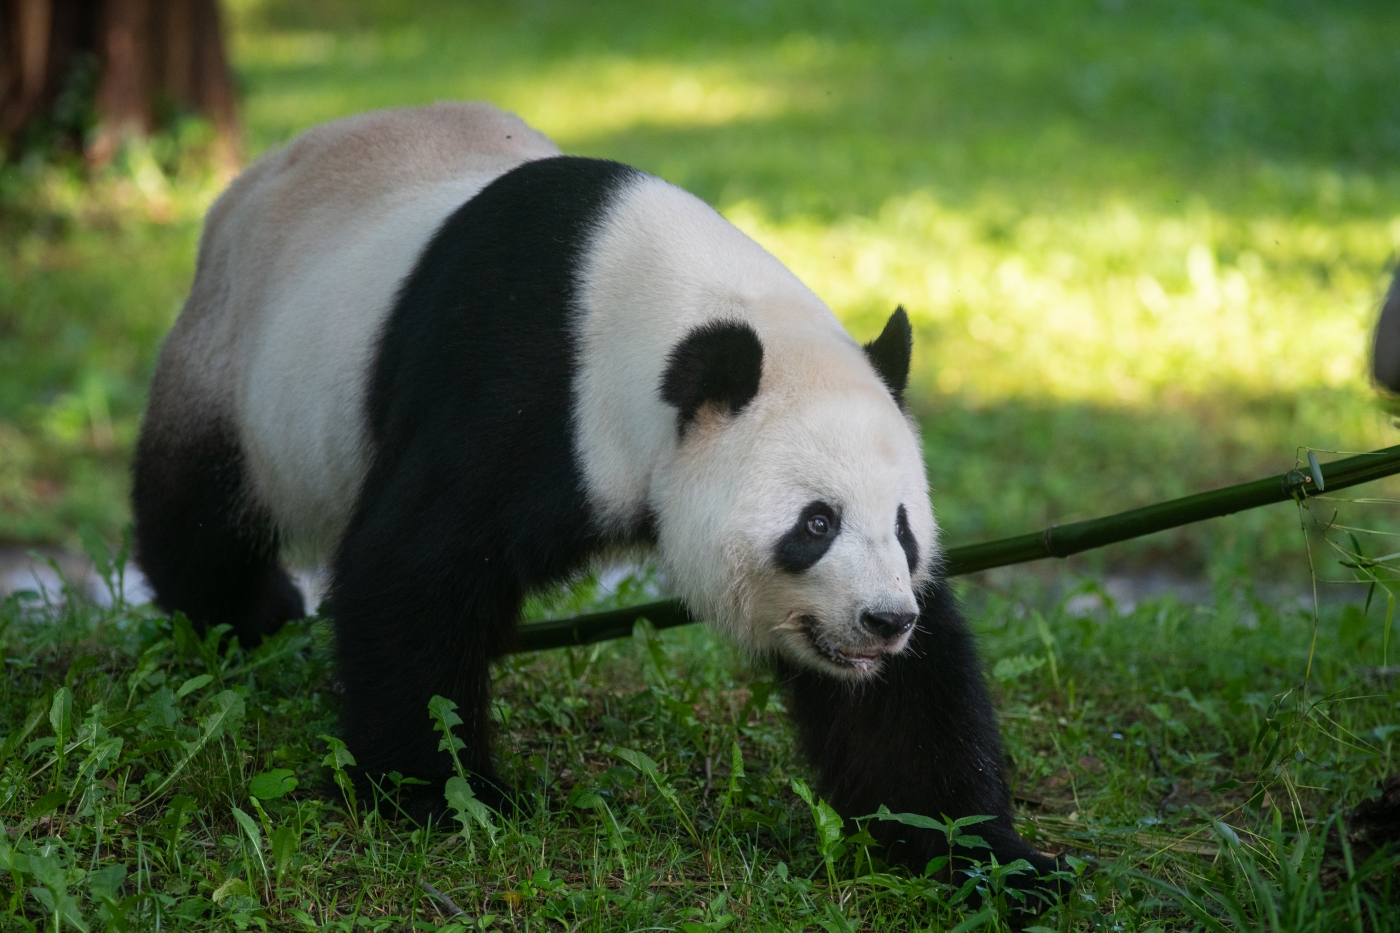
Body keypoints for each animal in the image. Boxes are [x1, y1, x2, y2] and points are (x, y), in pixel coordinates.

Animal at [136, 100, 1058, 896]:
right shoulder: (514, 388)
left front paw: (986, 855)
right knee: (203, 513)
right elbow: (411, 571)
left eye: (903, 529)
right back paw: (245, 616)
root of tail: (249, 183)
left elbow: (906, 706)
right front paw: (443, 793)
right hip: (231, 358)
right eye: (817, 522)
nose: (883, 620)